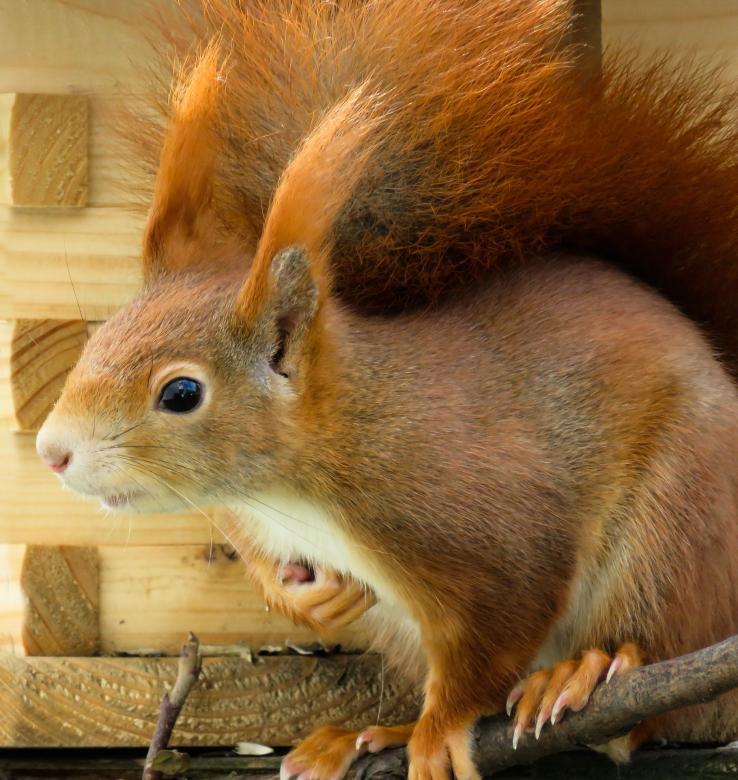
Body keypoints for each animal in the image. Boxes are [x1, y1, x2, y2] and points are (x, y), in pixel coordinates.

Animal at [34, 1, 738, 779]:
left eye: (182, 394)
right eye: (97, 339)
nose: (51, 452)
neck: (297, 484)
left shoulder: (481, 525)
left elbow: (500, 625)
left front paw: (442, 728)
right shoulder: (255, 522)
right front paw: (311, 602)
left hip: (678, 525)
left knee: (652, 663)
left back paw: (578, 671)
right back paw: (365, 735)